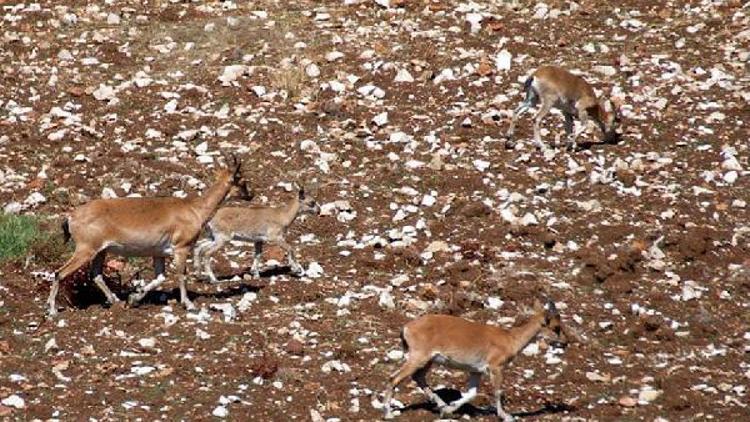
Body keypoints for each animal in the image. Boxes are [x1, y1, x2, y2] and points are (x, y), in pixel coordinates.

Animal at [48, 156, 248, 316]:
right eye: (242, 181)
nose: (250, 195)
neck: (194, 209)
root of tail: (72, 217)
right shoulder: (181, 248)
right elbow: (181, 275)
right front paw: (189, 304)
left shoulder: (158, 253)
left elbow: (160, 278)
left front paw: (134, 298)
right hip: (85, 250)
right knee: (59, 273)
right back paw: (52, 310)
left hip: (100, 252)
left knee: (96, 275)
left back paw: (116, 301)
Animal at [384, 298, 568, 420]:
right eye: (556, 327)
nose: (566, 342)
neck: (510, 339)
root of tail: (406, 328)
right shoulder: (495, 367)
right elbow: (497, 391)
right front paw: (505, 416)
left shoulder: (476, 371)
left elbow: (472, 393)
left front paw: (449, 409)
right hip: (418, 357)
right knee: (394, 378)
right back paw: (387, 413)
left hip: (428, 360)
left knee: (418, 377)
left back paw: (441, 405)